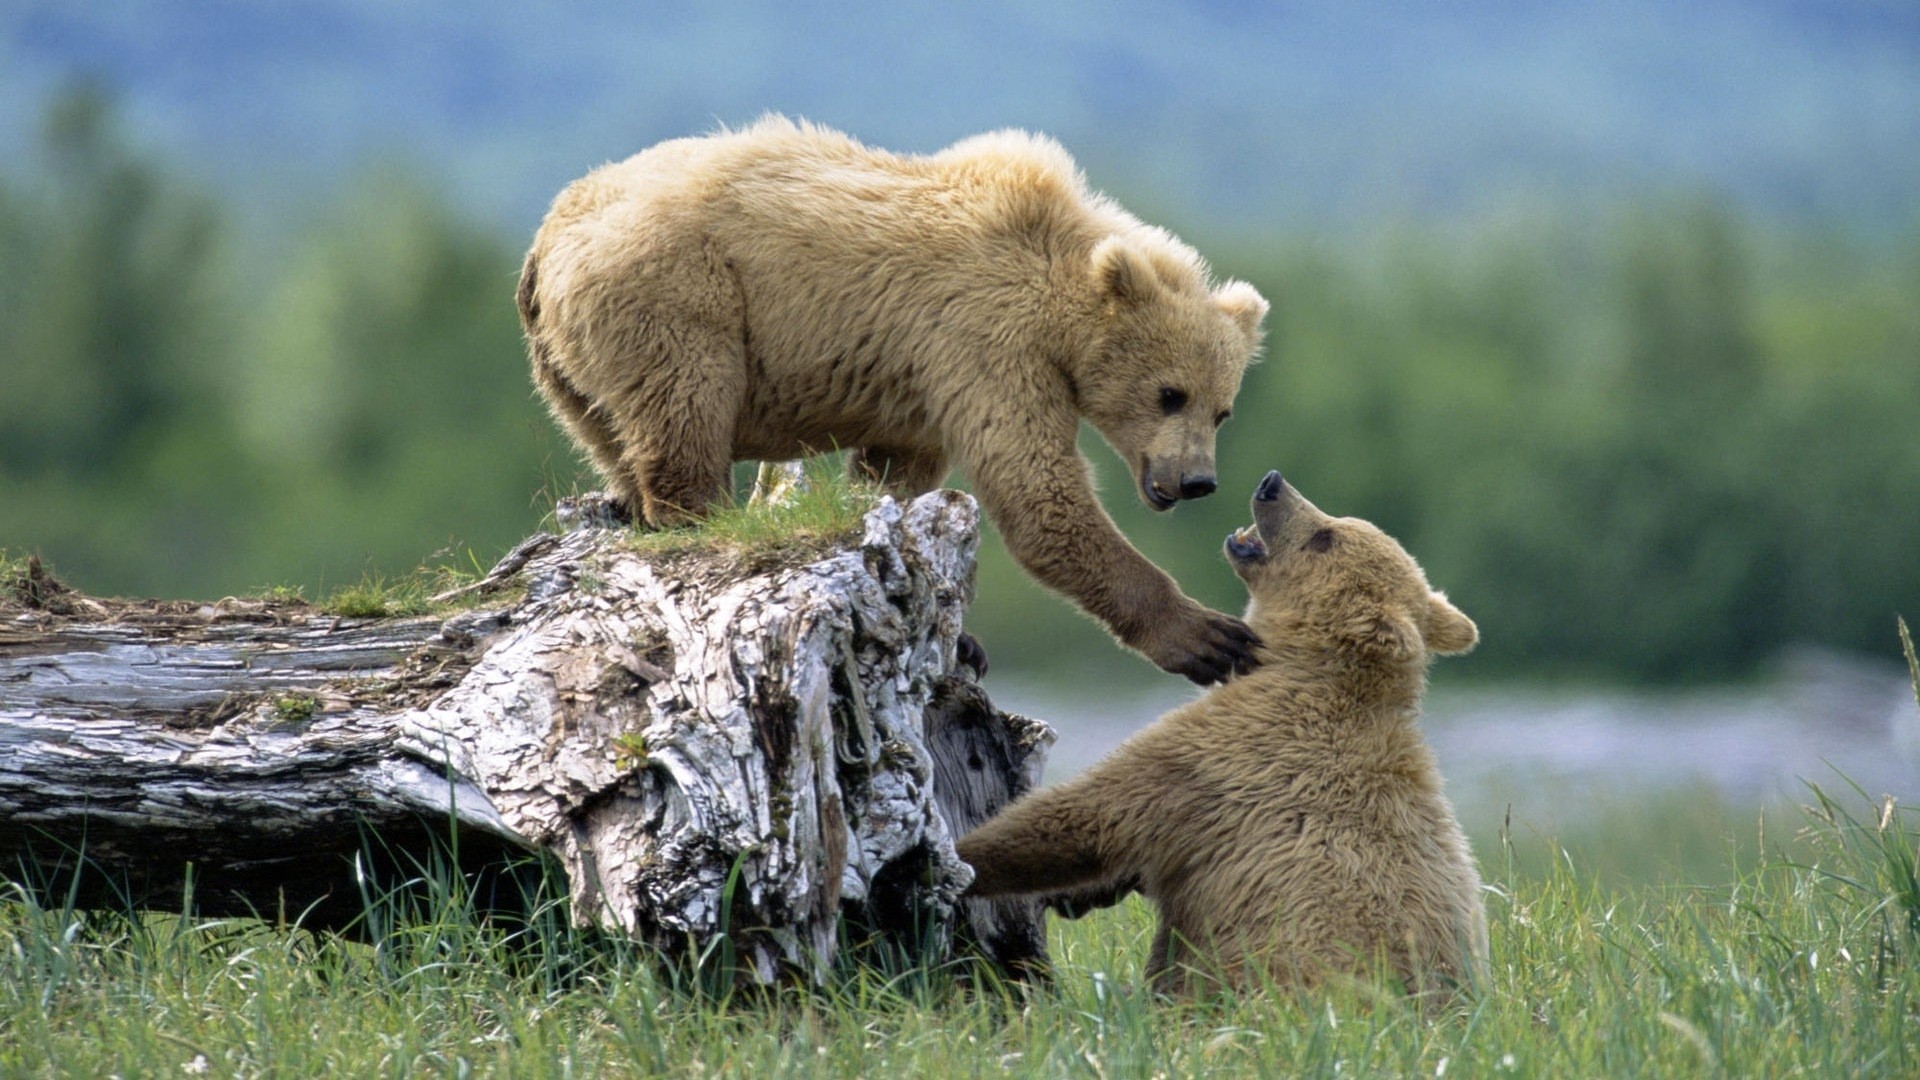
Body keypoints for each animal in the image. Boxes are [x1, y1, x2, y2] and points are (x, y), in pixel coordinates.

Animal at [516, 117, 1268, 684]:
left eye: (1221, 409)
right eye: (1170, 394)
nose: (1197, 480)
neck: (1059, 291)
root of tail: (546, 238)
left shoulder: (924, 385)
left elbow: (897, 476)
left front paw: (959, 633)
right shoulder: (986, 341)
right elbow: (1038, 493)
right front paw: (1210, 636)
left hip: (569, 369)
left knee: (614, 437)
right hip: (675, 292)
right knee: (686, 409)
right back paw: (704, 515)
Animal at [956, 470, 1488, 998]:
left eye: (1325, 536)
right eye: (1336, 523)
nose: (1272, 484)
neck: (1303, 665)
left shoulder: (1226, 757)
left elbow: (1088, 816)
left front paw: (961, 858)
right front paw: (1080, 893)